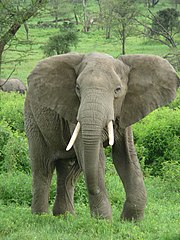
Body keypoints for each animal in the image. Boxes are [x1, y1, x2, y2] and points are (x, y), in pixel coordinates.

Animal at [24, 53, 179, 221]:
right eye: (77, 88)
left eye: (117, 90)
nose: (95, 190)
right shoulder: (75, 112)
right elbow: (96, 159)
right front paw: (103, 221)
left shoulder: (125, 111)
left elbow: (126, 157)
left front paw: (130, 221)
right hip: (32, 119)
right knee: (43, 167)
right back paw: (40, 217)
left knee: (68, 172)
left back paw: (66, 217)